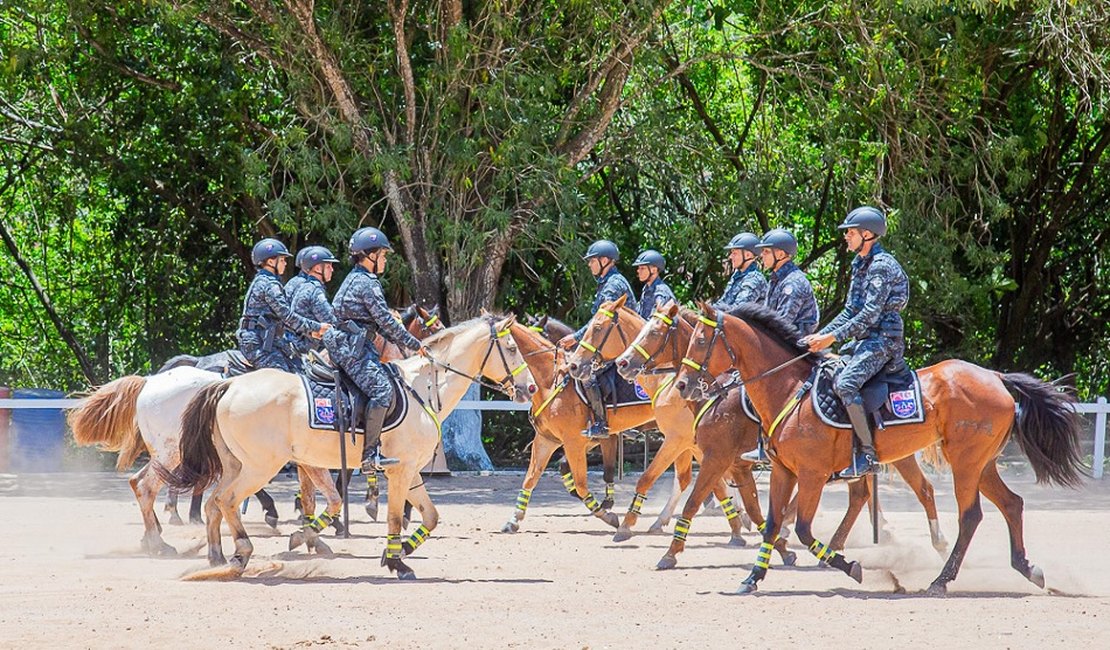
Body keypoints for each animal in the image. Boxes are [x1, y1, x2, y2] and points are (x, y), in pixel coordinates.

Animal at [158, 312, 535, 576]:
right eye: (512, 349)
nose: (530, 389)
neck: (424, 388)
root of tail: (229, 385)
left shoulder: (411, 472)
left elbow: (430, 516)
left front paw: (399, 552)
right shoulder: (398, 472)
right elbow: (392, 517)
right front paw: (397, 563)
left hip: (236, 464)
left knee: (214, 504)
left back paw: (217, 556)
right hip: (260, 466)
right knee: (226, 501)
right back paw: (241, 552)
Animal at [612, 299, 950, 567]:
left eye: (655, 332)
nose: (623, 363)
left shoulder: (716, 455)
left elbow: (695, 498)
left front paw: (665, 550)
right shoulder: (731, 462)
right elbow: (751, 506)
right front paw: (777, 545)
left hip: (889, 456)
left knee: (918, 491)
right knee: (868, 495)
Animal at [670, 301, 1078, 594]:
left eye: (702, 341)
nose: (683, 386)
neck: (790, 389)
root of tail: (994, 376)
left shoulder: (811, 475)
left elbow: (801, 529)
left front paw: (849, 566)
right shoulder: (785, 472)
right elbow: (771, 525)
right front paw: (752, 578)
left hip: (965, 464)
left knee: (970, 516)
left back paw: (941, 580)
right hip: (982, 464)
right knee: (1012, 504)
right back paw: (1027, 569)